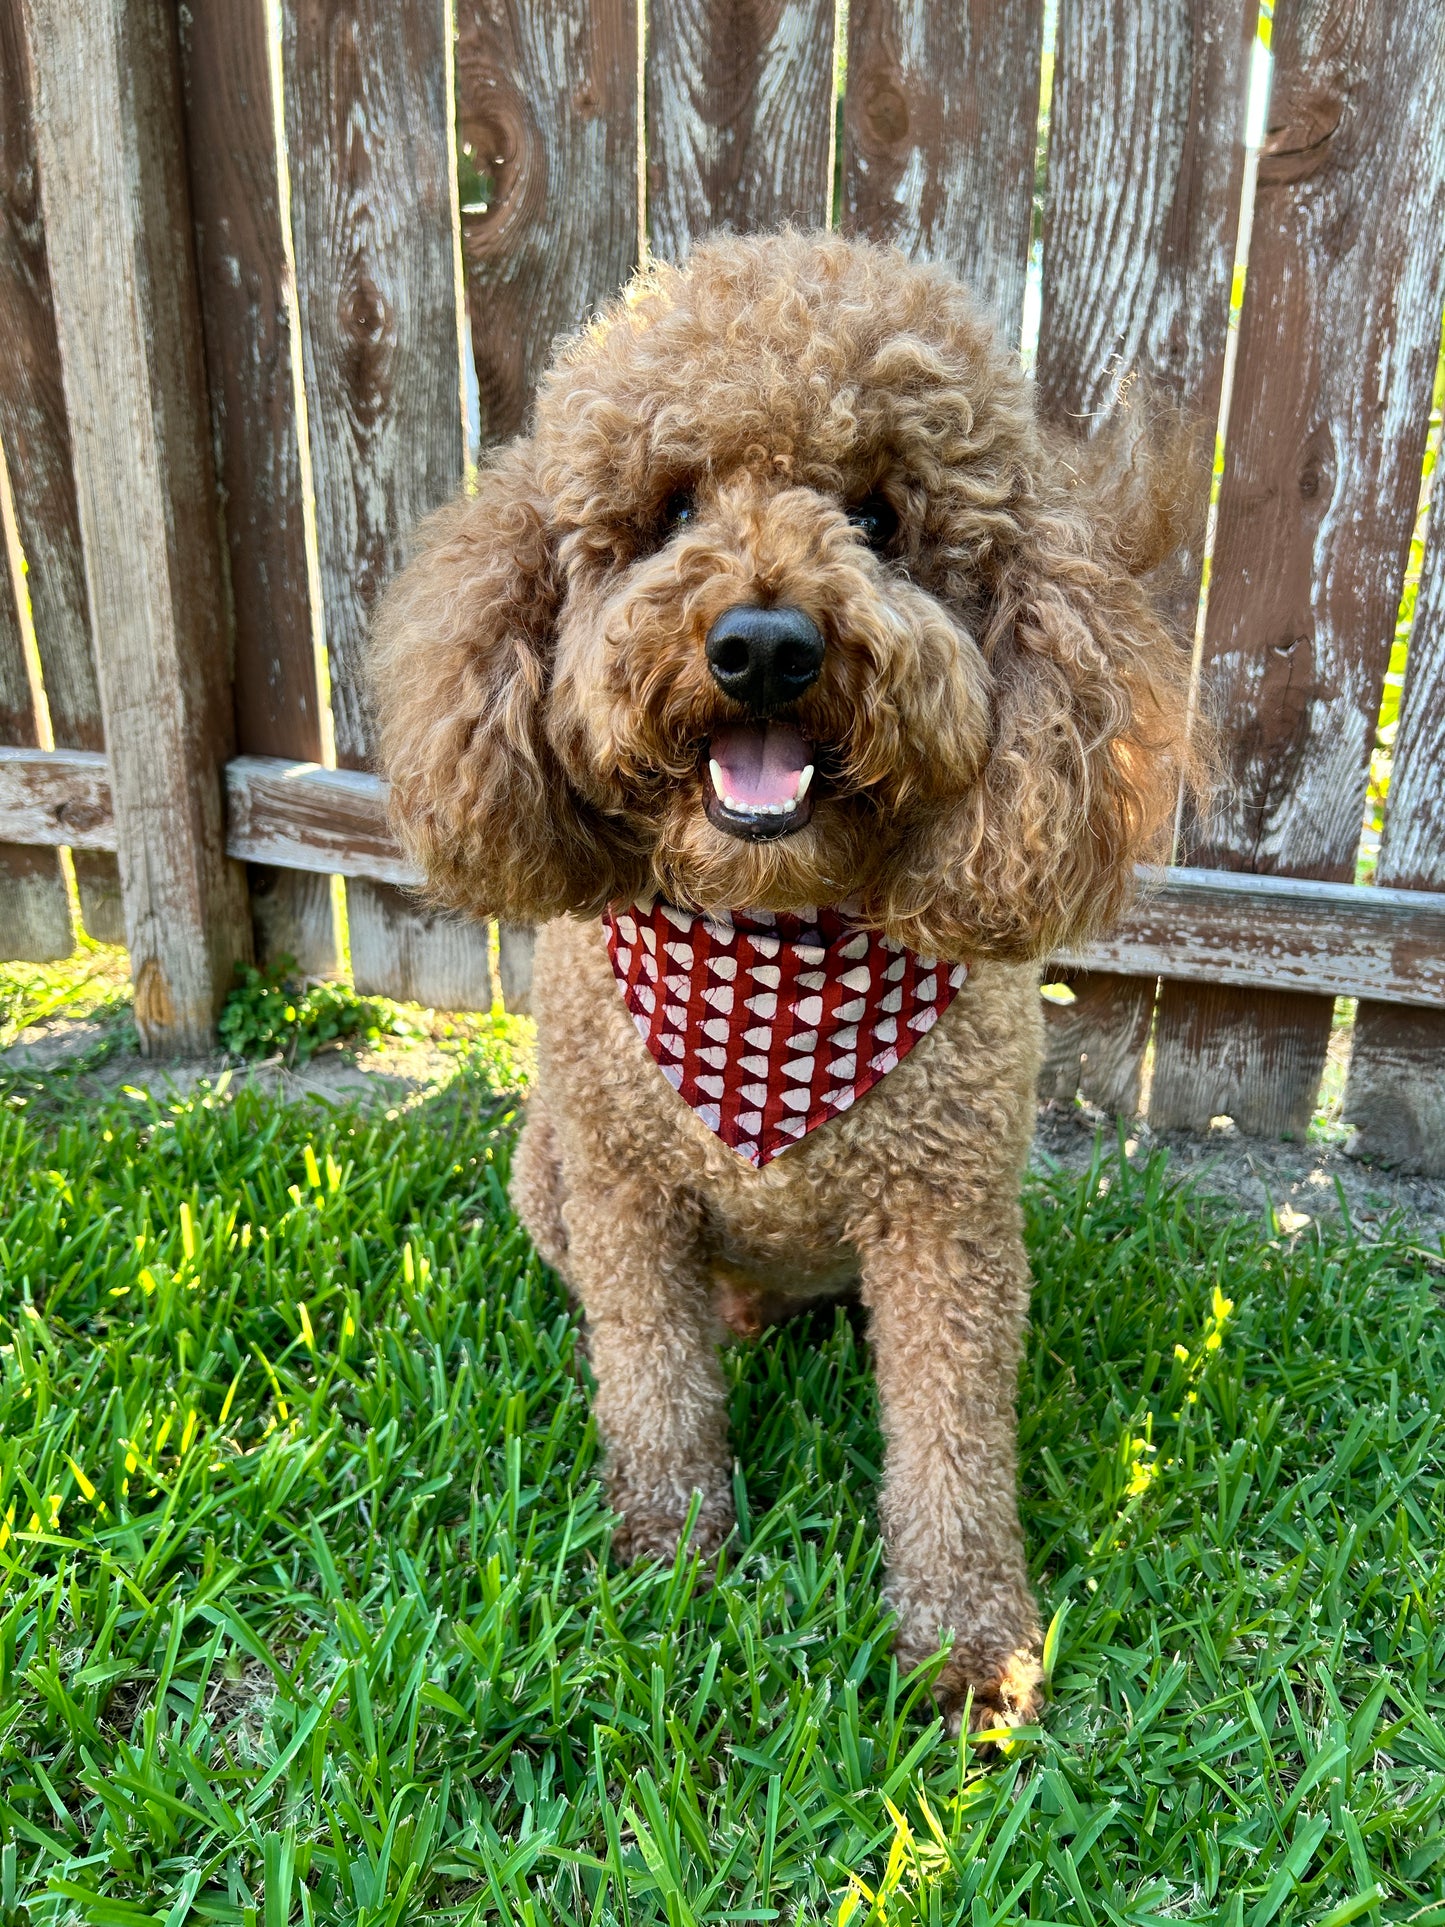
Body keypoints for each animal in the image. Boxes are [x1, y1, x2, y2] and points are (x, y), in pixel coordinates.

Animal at [369, 225, 1202, 1734]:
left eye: (876, 513)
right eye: (667, 510)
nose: (763, 643)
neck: (768, 952)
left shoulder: (944, 1222)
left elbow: (948, 1439)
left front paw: (969, 1643)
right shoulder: (625, 1194)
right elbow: (652, 1380)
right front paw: (667, 1549)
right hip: (548, 1170)